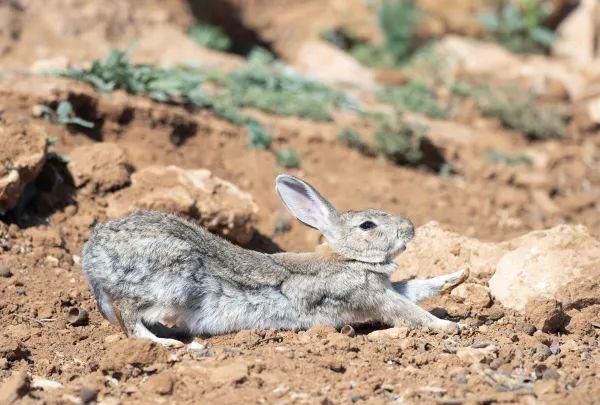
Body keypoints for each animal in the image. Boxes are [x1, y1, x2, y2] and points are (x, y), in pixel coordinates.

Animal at [82, 172, 468, 346]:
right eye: (367, 225)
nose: (410, 228)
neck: (347, 259)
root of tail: (92, 256)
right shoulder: (371, 296)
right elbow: (408, 311)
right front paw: (449, 327)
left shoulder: (387, 287)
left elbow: (415, 287)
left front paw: (460, 275)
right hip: (168, 284)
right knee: (130, 316)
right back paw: (164, 343)